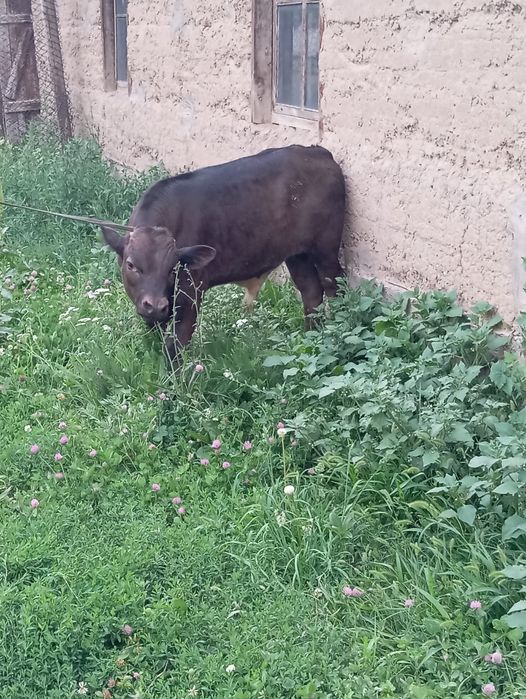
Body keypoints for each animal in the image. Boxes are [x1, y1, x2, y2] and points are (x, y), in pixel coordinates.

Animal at [100, 144, 346, 363]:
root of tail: (317, 152)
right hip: (297, 254)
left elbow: (175, 344)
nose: (155, 304)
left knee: (335, 286)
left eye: (173, 268)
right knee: (311, 291)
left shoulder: (191, 292)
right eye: (131, 265)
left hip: (326, 248)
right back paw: (310, 336)